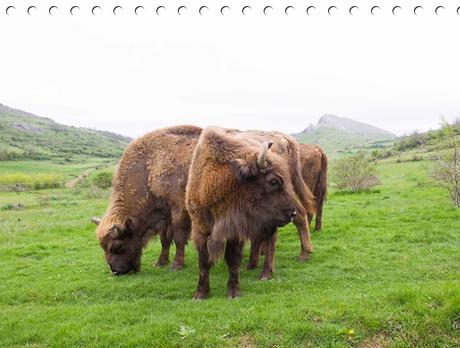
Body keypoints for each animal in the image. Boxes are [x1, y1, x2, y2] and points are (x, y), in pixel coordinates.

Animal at [91, 125, 201, 274]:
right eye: (102, 246)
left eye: (117, 246)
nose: (115, 271)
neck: (150, 166)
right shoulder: (165, 215)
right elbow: (165, 239)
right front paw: (160, 262)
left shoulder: (178, 209)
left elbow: (178, 238)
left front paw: (176, 266)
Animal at [185, 126, 314, 298]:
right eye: (273, 182)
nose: (290, 213)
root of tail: (287, 139)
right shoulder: (200, 228)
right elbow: (203, 262)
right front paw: (200, 294)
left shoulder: (235, 231)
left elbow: (232, 259)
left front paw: (233, 292)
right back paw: (253, 265)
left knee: (276, 234)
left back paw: (266, 272)